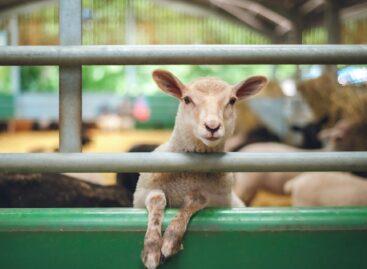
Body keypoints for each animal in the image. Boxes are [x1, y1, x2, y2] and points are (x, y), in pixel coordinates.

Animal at [134, 69, 268, 268]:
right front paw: (152, 248)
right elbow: (157, 200)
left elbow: (195, 200)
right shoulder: (142, 193)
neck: (188, 177)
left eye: (232, 100)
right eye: (187, 99)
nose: (212, 126)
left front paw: (170, 241)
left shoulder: (217, 199)